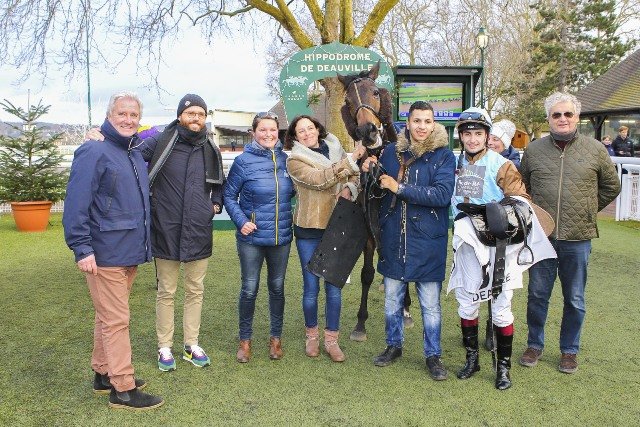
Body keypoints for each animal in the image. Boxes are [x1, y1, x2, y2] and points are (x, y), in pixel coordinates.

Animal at [337, 62, 413, 341]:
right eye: (348, 101)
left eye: (376, 93)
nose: (367, 132)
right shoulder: (369, 227)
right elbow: (367, 274)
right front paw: (361, 323)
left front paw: (405, 309)